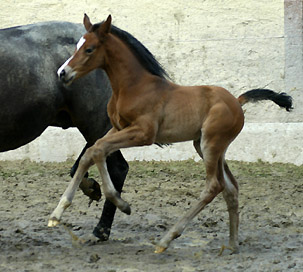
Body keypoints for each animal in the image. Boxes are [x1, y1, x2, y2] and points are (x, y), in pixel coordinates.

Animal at [0, 21, 167, 240]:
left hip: (94, 122)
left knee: (117, 167)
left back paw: (102, 228)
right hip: (94, 124)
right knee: (92, 155)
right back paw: (93, 191)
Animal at [49, 14, 292, 253]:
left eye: (89, 49)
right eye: (77, 46)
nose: (62, 73)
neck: (133, 87)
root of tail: (237, 101)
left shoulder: (143, 134)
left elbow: (98, 149)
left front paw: (122, 204)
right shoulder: (117, 128)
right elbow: (92, 152)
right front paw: (56, 214)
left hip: (211, 144)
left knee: (214, 186)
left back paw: (166, 240)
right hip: (206, 146)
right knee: (231, 188)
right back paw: (232, 244)